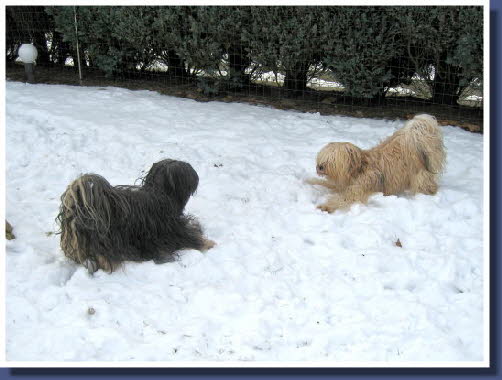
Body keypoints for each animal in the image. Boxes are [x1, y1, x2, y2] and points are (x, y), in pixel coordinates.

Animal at [308, 114, 446, 212]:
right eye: (322, 157)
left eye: (333, 159)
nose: (320, 167)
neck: (357, 170)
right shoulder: (341, 185)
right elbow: (323, 183)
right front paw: (309, 181)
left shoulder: (358, 189)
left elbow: (344, 198)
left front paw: (326, 206)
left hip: (420, 176)